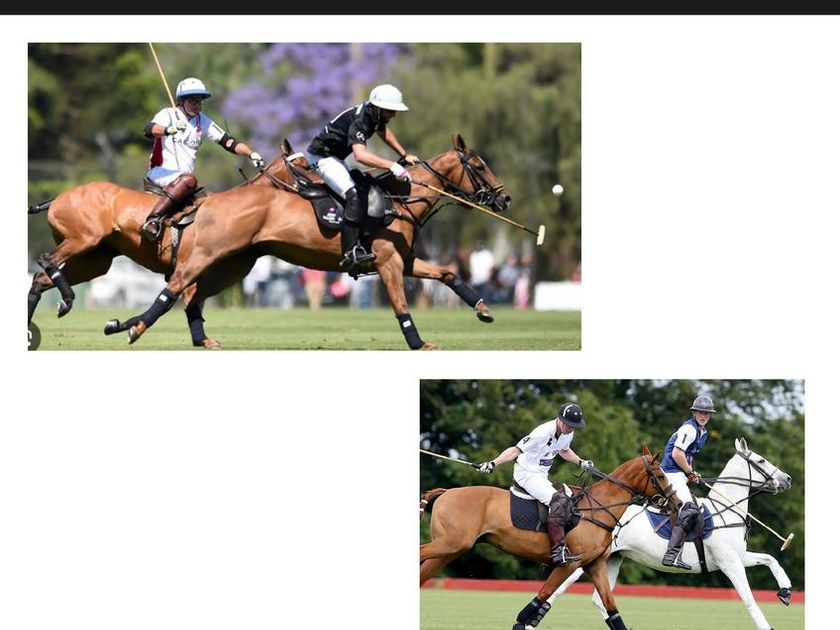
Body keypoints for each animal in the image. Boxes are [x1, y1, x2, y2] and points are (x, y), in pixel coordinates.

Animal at [27, 140, 309, 348]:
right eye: (304, 166)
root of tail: (57, 198)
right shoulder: (190, 269)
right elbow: (179, 301)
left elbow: (192, 306)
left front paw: (203, 341)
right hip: (82, 240)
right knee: (46, 260)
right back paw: (67, 300)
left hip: (95, 261)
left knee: (40, 279)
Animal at [120, 134, 511, 350]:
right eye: (479, 165)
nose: (504, 199)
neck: (400, 199)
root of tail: (209, 200)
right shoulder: (389, 263)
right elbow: (401, 306)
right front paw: (418, 343)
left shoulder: (406, 260)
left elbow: (448, 274)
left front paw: (483, 309)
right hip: (208, 254)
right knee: (176, 288)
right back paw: (132, 327)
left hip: (235, 264)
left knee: (193, 298)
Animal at [419, 445, 680, 630]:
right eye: (660, 475)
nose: (676, 503)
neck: (597, 508)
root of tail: (446, 492)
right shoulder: (569, 563)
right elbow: (541, 597)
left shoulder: (595, 565)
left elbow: (611, 607)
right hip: (450, 543)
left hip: (450, 548)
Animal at [546, 438, 794, 630]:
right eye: (761, 460)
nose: (787, 479)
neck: (725, 509)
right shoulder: (730, 563)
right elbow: (750, 600)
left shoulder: (738, 557)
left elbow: (770, 559)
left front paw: (785, 591)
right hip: (586, 558)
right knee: (559, 588)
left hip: (612, 559)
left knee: (599, 600)